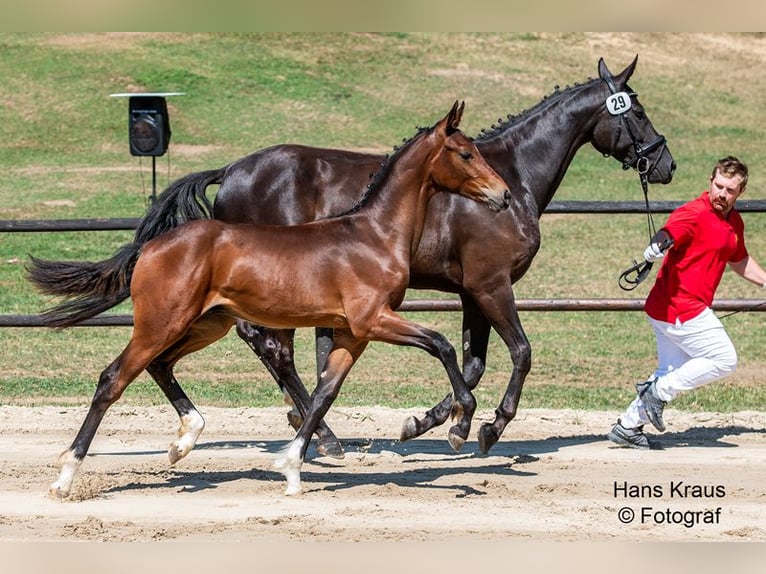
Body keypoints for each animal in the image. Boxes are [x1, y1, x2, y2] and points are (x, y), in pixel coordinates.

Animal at [30, 101, 512, 498]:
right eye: (466, 153)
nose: (503, 195)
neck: (374, 235)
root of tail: (151, 247)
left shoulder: (352, 334)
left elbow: (324, 394)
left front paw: (293, 470)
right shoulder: (374, 319)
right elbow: (442, 345)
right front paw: (461, 424)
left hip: (207, 324)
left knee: (160, 366)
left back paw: (184, 440)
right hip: (161, 323)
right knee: (113, 379)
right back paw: (65, 477)